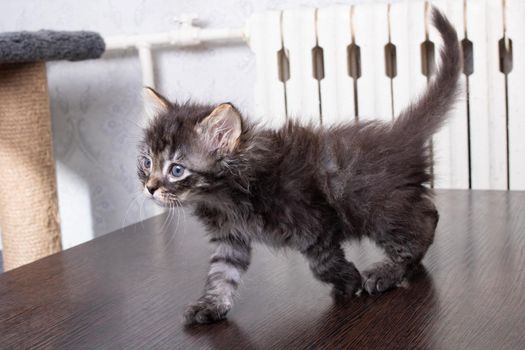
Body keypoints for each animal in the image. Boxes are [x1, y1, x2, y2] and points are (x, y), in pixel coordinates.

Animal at [138, 7, 458, 326]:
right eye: (146, 162)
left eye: (176, 170)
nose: (150, 188)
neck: (225, 196)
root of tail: (399, 135)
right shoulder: (230, 238)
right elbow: (222, 272)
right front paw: (211, 303)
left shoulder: (315, 223)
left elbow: (322, 262)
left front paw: (348, 280)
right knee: (428, 214)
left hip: (375, 206)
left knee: (423, 223)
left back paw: (388, 272)